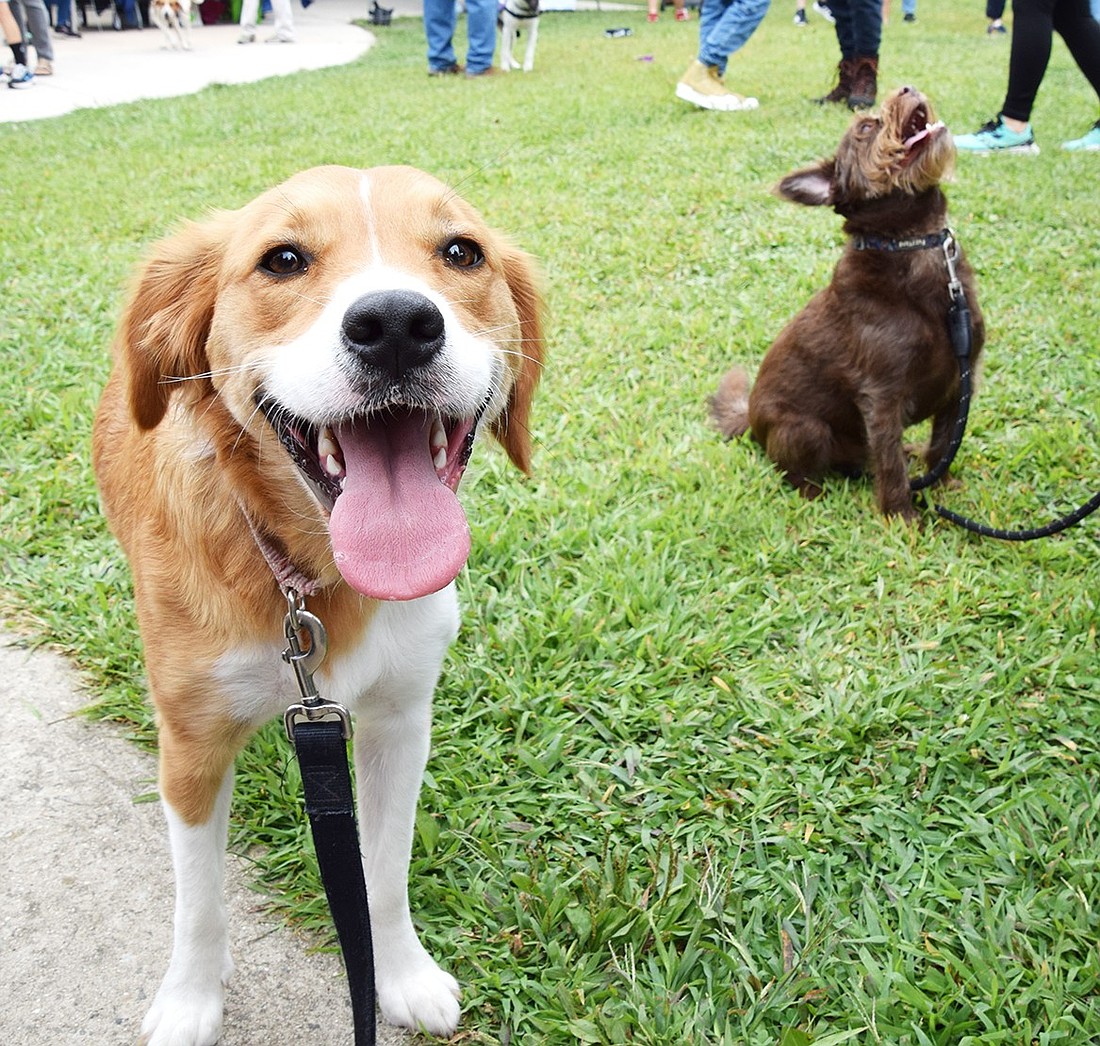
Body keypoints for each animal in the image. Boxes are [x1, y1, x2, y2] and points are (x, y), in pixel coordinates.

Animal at [92, 167, 543, 1042]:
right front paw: (190, 1000)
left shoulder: (400, 720)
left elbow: (383, 873)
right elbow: (199, 901)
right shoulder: (191, 746)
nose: (396, 324)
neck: (307, 576)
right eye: (284, 259)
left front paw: (398, 973)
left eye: (461, 252)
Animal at [712, 85, 990, 519]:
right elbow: (890, 466)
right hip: (804, 429)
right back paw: (815, 496)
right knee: (798, 472)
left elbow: (943, 445)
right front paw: (902, 519)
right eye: (865, 128)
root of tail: (751, 421)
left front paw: (943, 488)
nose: (907, 87)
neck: (910, 244)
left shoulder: (960, 381)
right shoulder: (882, 397)